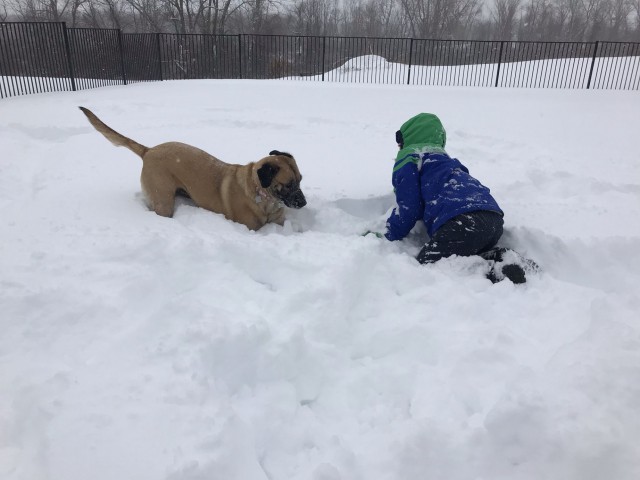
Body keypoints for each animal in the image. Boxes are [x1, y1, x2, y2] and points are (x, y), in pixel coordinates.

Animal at [77, 107, 308, 231]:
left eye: (300, 180)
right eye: (288, 184)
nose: (304, 203)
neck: (262, 194)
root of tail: (149, 150)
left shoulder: (279, 221)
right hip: (163, 201)